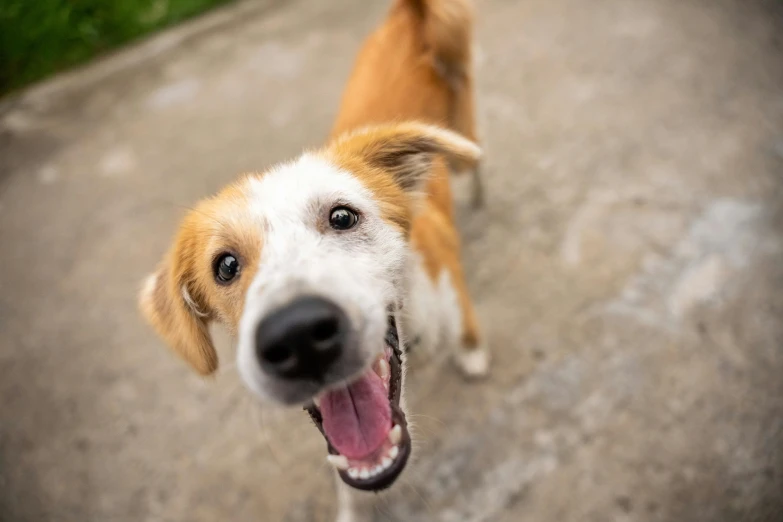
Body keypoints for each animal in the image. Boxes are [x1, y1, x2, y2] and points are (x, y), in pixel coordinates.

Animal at [138, 0, 486, 516]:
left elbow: (467, 330)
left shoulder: (449, 285)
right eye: (225, 266)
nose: (297, 334)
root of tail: (408, 14)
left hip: (463, 140)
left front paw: (474, 354)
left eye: (342, 216)